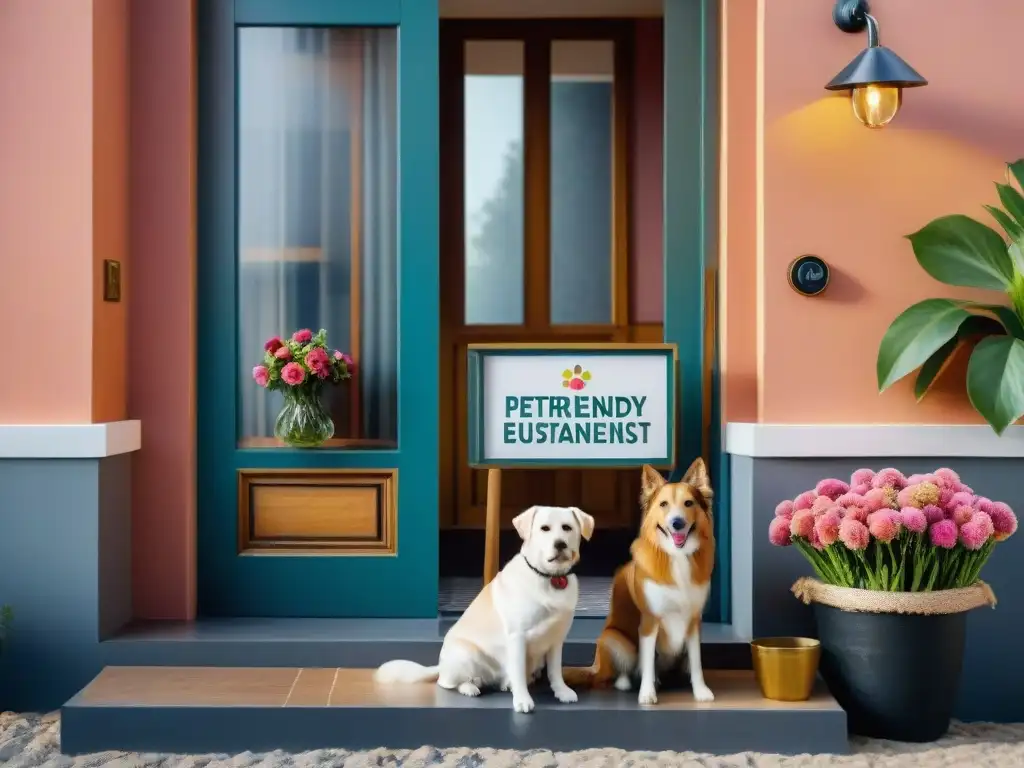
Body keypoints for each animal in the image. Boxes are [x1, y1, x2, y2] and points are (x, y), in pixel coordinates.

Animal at [374, 505, 598, 716]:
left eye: (567, 528)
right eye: (545, 528)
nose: (560, 544)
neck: (549, 577)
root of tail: (441, 665)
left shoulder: (556, 640)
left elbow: (555, 670)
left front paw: (562, 691)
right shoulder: (517, 637)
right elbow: (518, 672)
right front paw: (522, 700)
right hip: (467, 653)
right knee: (447, 682)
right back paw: (469, 688)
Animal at [565, 460, 716, 708]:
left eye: (688, 503)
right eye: (663, 504)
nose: (677, 523)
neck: (676, 557)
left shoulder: (694, 621)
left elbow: (696, 662)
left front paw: (701, 692)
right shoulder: (649, 620)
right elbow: (646, 662)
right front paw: (647, 694)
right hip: (615, 640)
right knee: (624, 672)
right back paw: (630, 682)